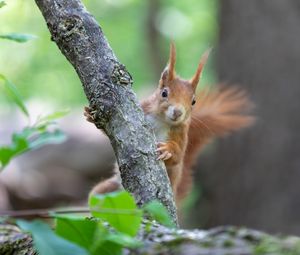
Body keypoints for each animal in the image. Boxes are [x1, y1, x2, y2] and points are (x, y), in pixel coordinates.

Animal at [85, 43, 254, 202]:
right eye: (164, 93)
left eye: (193, 101)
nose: (178, 112)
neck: (161, 121)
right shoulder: (142, 110)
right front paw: (91, 115)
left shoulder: (181, 132)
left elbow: (178, 154)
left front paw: (168, 149)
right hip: (105, 191)